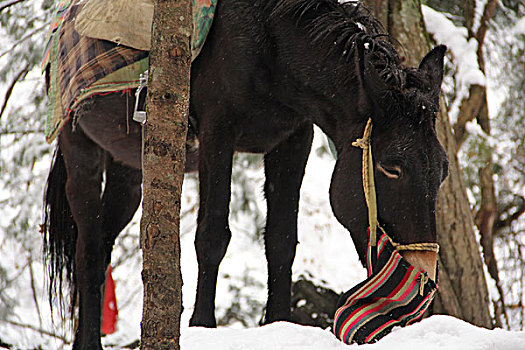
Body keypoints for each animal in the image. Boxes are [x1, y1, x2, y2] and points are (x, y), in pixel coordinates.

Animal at [43, 0, 448, 348]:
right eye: (391, 168)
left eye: (443, 170)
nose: (424, 274)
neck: (269, 43)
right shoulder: (217, 135)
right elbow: (212, 237)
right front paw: (202, 327)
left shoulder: (293, 140)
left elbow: (281, 240)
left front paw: (277, 323)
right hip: (81, 151)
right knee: (88, 252)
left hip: (128, 169)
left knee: (101, 245)